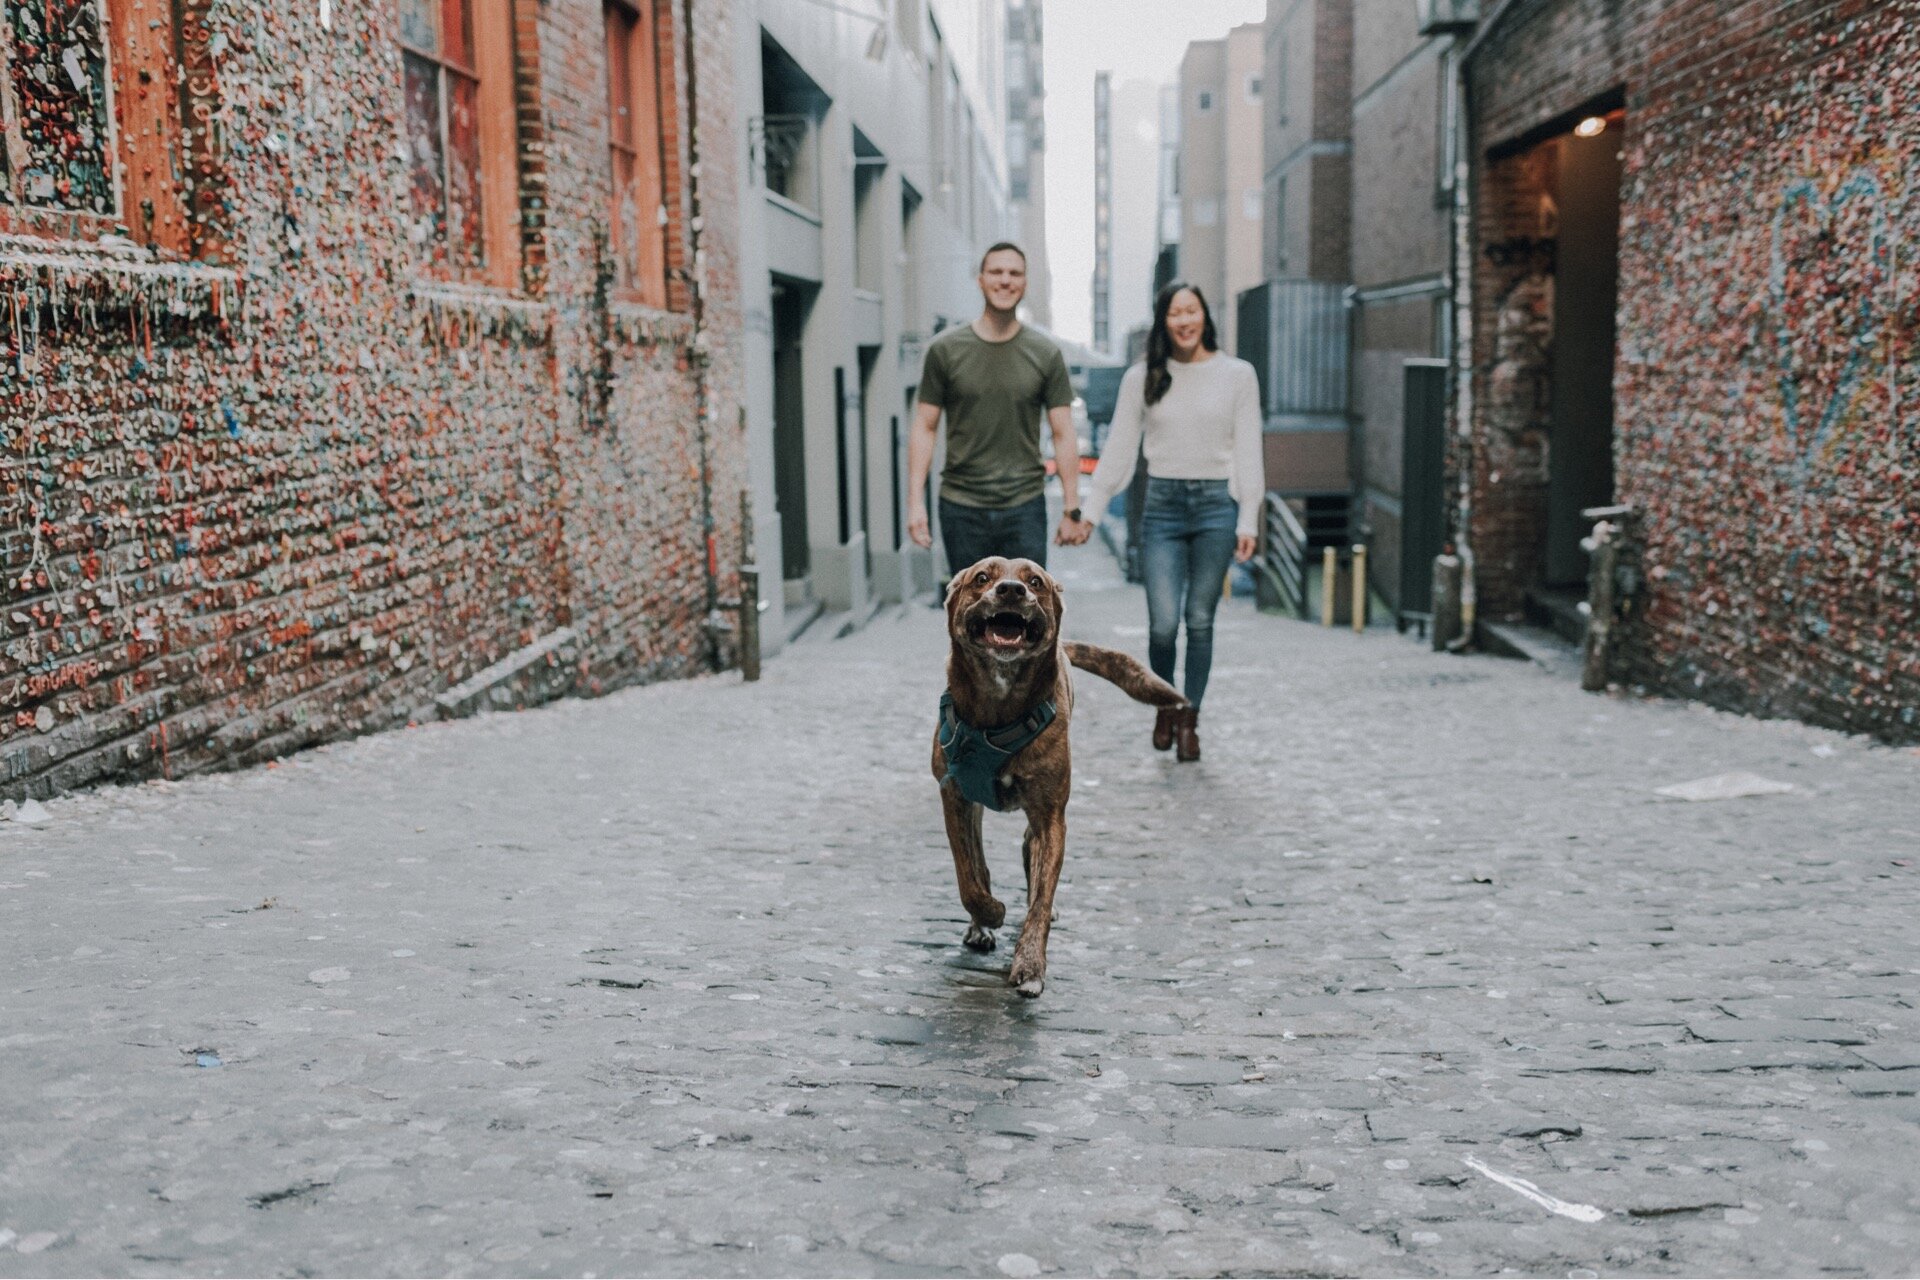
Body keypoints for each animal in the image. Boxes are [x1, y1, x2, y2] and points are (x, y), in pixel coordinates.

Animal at [933, 556, 1182, 997]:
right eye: (982, 578)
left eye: (1035, 581)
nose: (1012, 590)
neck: (999, 710)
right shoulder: (955, 797)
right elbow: (970, 877)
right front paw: (989, 913)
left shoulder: (1051, 818)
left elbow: (1041, 896)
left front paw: (1031, 964)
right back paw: (982, 924)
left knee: (1030, 857)